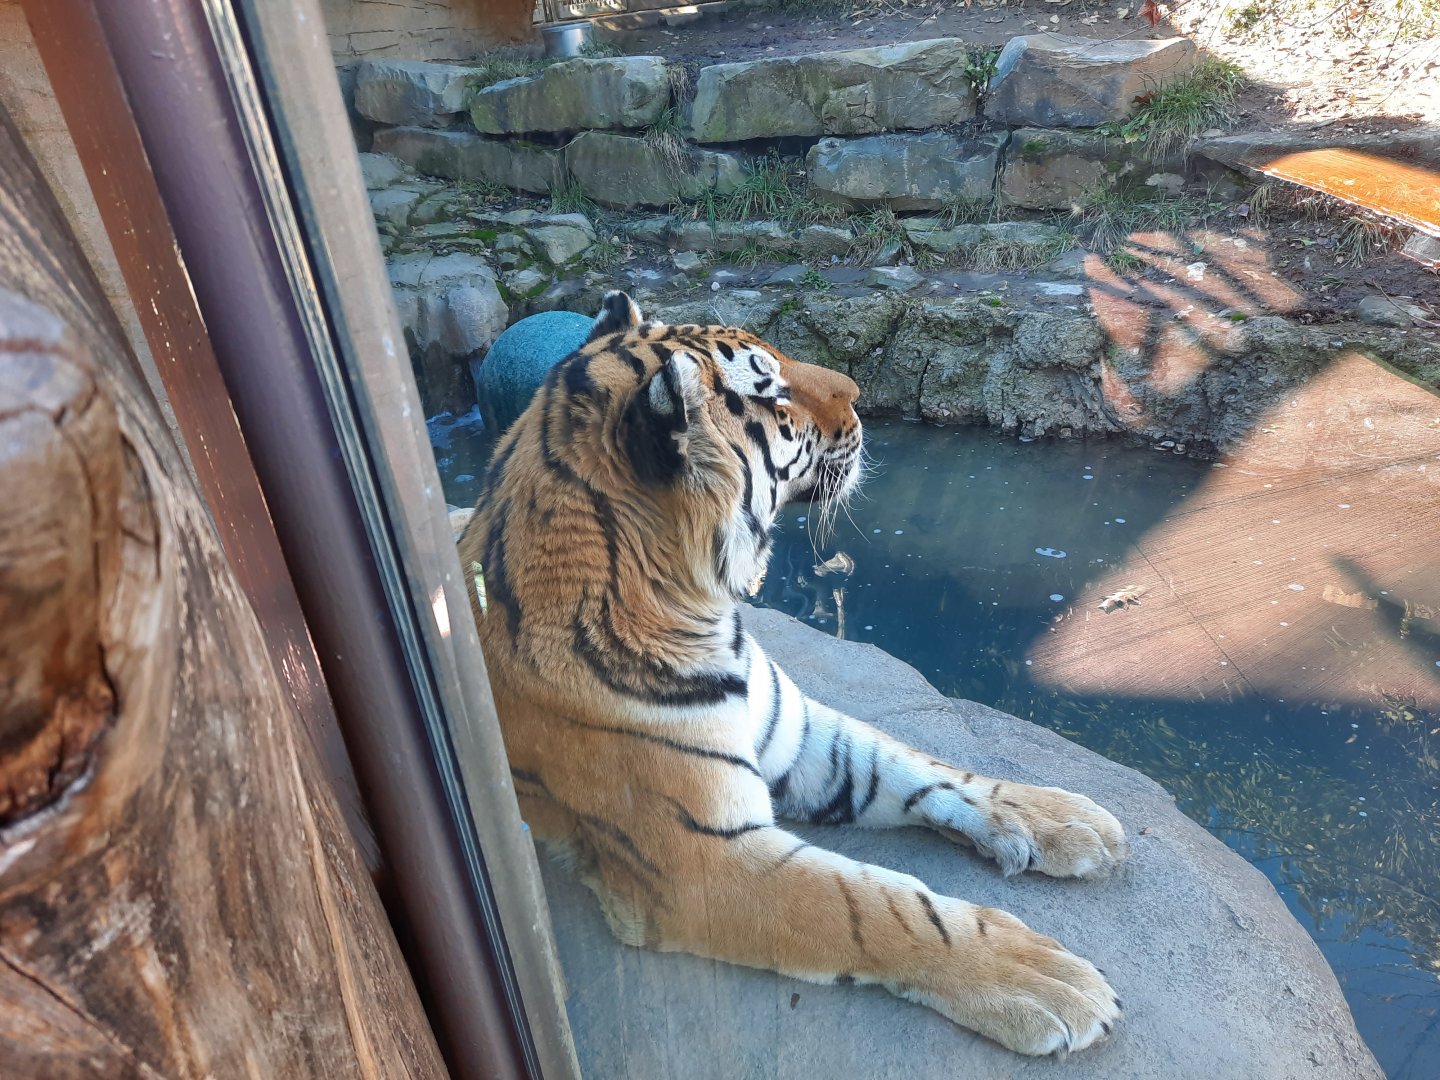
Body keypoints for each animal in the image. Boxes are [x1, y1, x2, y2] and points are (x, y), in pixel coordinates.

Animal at [457, 291, 1126, 1056]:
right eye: (770, 390)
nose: (861, 395)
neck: (699, 605)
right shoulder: (703, 861)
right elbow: (878, 904)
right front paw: (1038, 975)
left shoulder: (797, 734)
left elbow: (914, 765)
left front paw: (1059, 816)